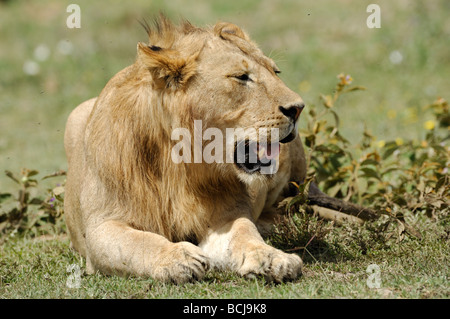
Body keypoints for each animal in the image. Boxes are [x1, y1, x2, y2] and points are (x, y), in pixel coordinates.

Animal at [64, 16, 306, 284]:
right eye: (241, 77)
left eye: (276, 72)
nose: (298, 108)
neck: (180, 161)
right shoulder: (102, 226)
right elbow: (140, 242)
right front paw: (177, 257)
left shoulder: (226, 217)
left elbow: (245, 232)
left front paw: (271, 257)